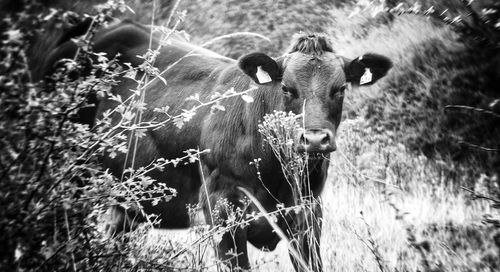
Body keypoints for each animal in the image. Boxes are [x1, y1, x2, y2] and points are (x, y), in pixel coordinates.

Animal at [41, 20, 392, 270]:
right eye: (287, 88)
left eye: (340, 89)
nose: (315, 139)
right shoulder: (223, 211)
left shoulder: (308, 215)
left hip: (124, 205)